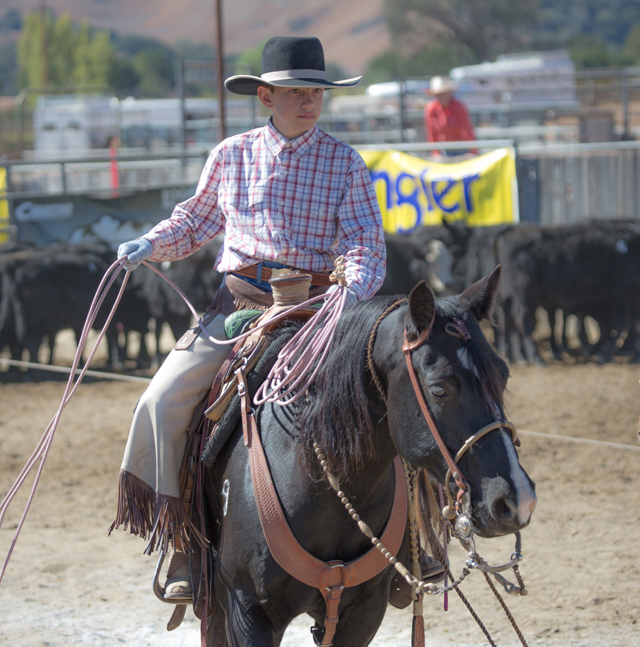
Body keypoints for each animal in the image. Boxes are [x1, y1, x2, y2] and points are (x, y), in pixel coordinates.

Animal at [204, 266, 536, 644]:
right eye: (440, 389)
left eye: (504, 375)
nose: (517, 499)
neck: (315, 480)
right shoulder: (245, 609)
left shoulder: (366, 610)